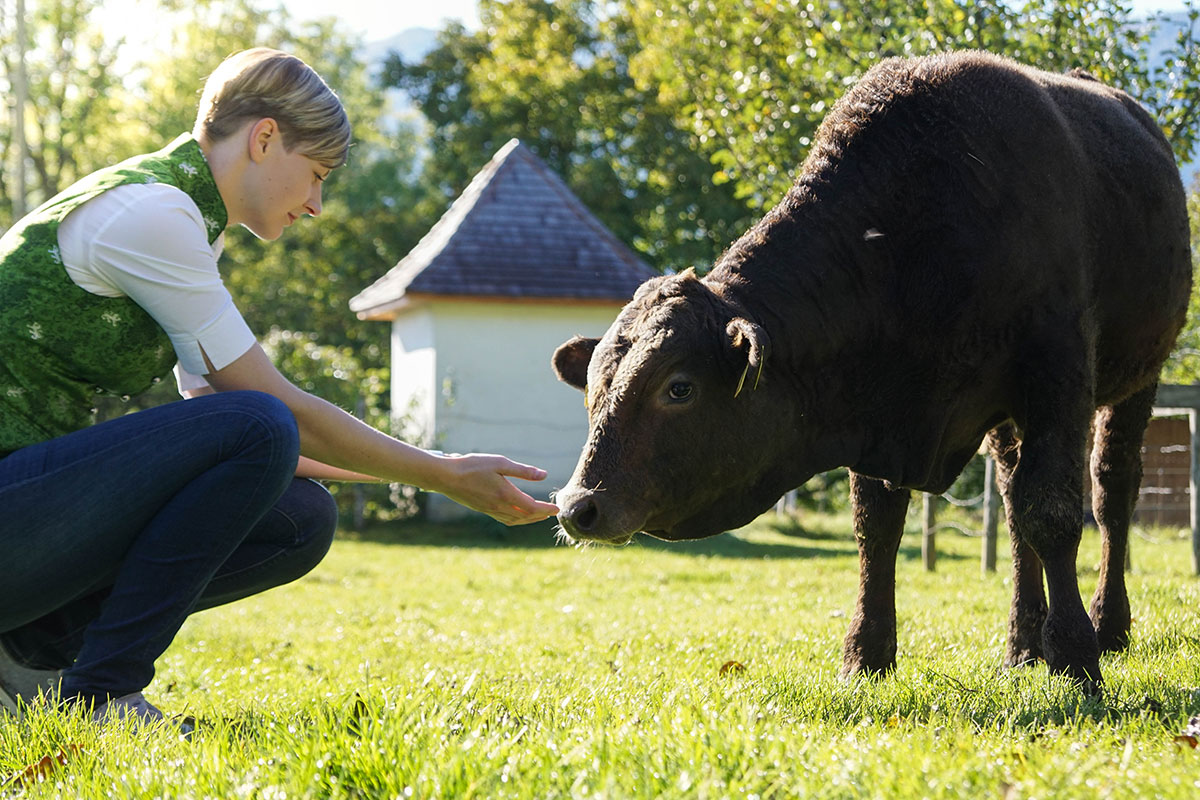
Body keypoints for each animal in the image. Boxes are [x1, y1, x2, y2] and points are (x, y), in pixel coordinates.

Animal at [549, 50, 1190, 690]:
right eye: (592, 390)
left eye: (678, 388)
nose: (578, 506)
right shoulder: (874, 407)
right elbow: (877, 528)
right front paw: (866, 654)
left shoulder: (1057, 374)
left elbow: (1054, 512)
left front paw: (1078, 656)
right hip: (1011, 421)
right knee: (1010, 503)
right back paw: (1021, 644)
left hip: (1139, 375)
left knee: (1110, 492)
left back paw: (1108, 626)